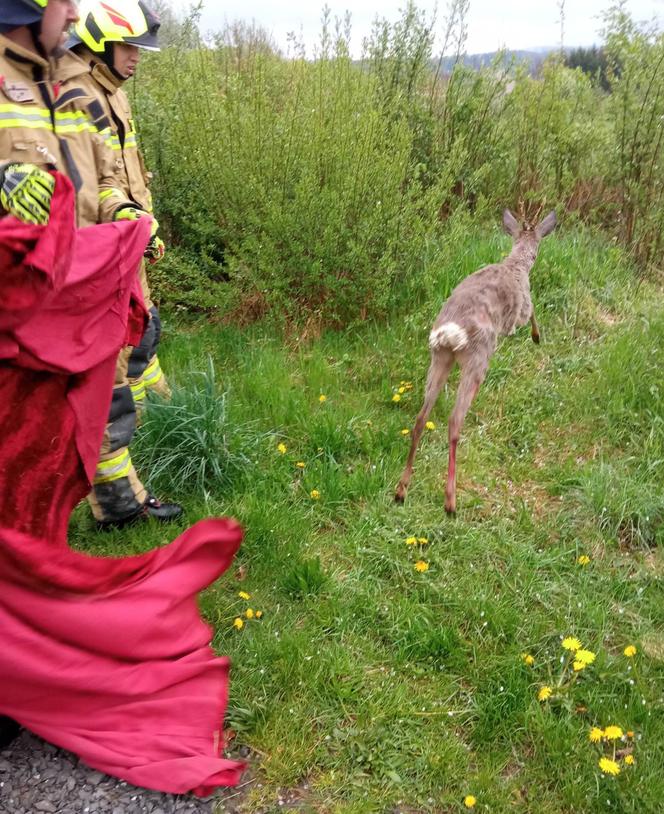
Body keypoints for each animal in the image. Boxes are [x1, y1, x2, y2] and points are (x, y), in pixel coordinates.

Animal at [394, 210, 556, 516]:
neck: (515, 266)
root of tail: (452, 331)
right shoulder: (521, 309)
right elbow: (532, 313)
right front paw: (537, 336)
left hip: (439, 357)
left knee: (420, 418)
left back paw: (401, 491)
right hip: (477, 358)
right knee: (454, 421)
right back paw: (450, 502)